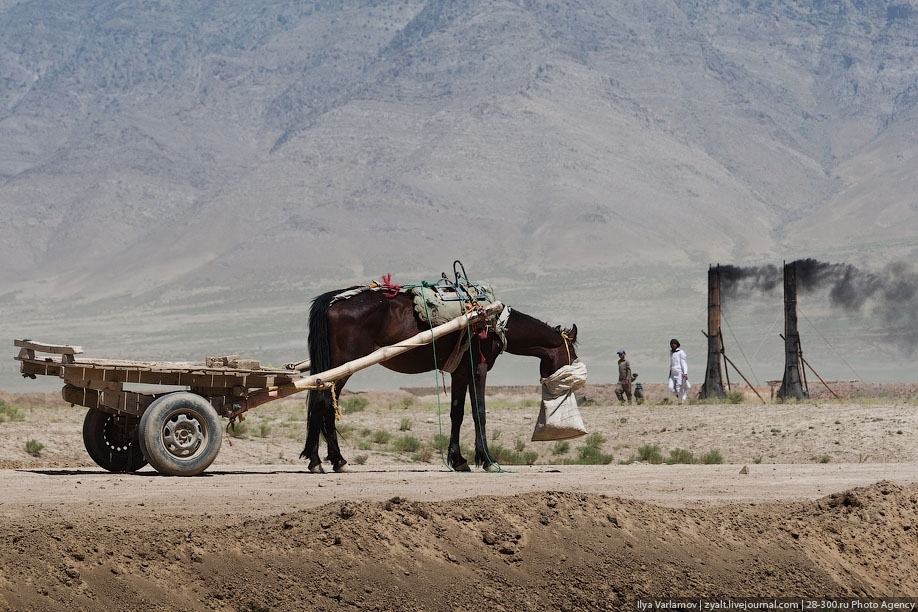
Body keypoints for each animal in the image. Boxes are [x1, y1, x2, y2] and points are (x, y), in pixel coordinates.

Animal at [298, 284, 580, 470]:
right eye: (573, 355)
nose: (574, 386)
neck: (491, 321)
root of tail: (334, 299)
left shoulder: (460, 372)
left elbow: (457, 413)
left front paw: (458, 460)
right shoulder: (478, 368)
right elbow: (479, 411)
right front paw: (487, 460)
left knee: (319, 403)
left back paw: (319, 459)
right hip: (343, 365)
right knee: (324, 403)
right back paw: (335, 460)